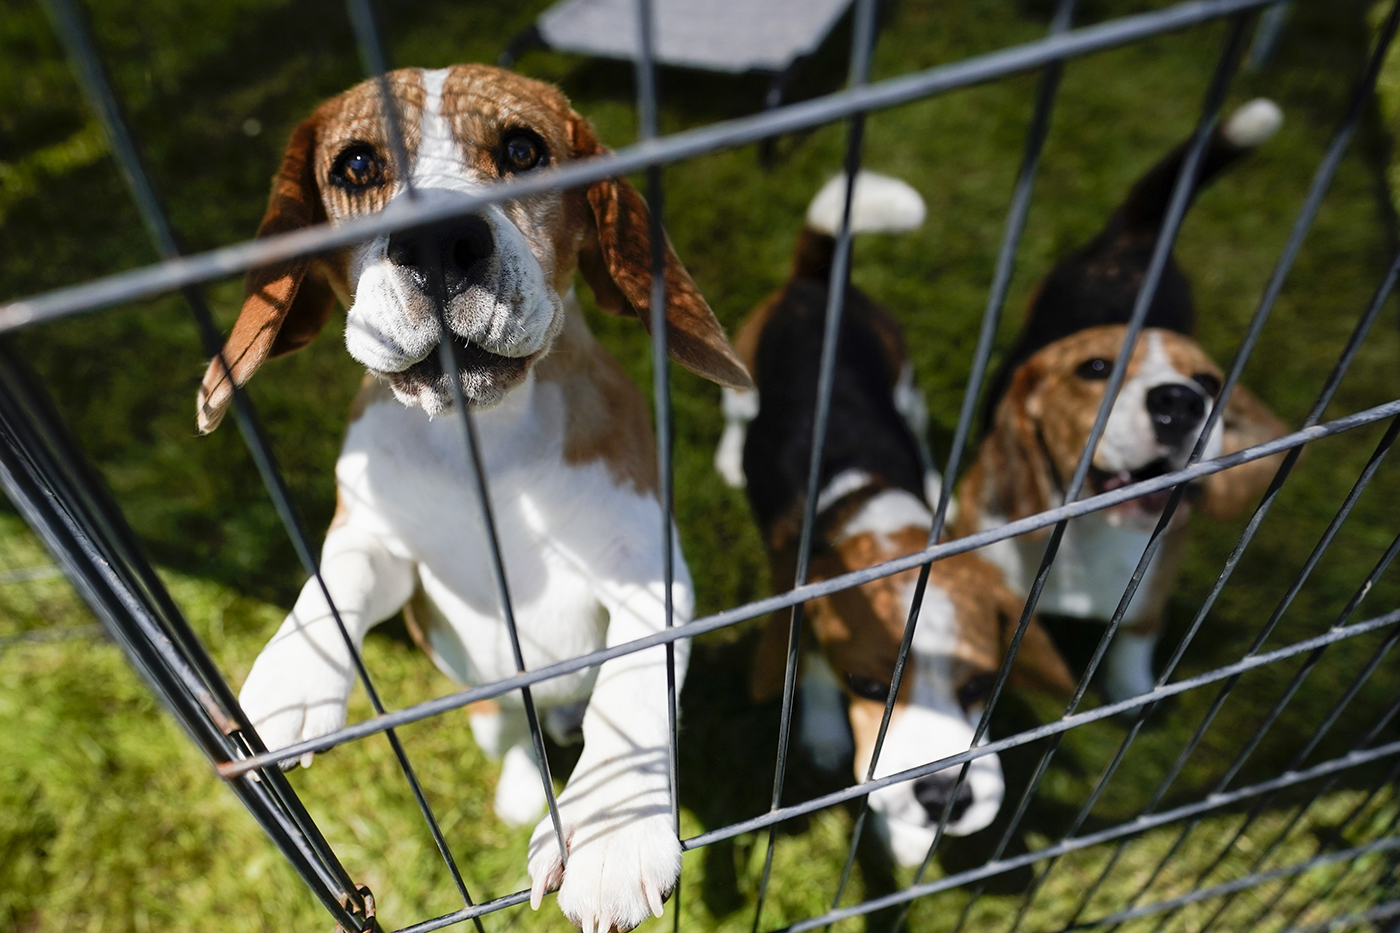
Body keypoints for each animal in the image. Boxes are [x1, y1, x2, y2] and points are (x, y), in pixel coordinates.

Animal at [198, 65, 756, 930]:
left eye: (524, 150)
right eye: (356, 166)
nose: (438, 243)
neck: (483, 445)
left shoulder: (648, 565)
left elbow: (633, 685)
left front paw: (611, 830)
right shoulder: (381, 540)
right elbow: (339, 575)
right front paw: (295, 675)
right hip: (487, 710)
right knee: (519, 735)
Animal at [716, 176, 1064, 862]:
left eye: (978, 685)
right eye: (870, 687)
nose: (944, 800)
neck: (874, 508)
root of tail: (815, 285)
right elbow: (810, 669)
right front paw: (826, 735)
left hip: (905, 377)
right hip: (739, 377)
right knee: (737, 415)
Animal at [957, 100, 1282, 697]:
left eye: (1209, 383)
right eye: (1096, 368)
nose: (1180, 403)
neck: (1087, 534)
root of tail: (1139, 238)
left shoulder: (1153, 585)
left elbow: (1135, 641)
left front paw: (1133, 694)